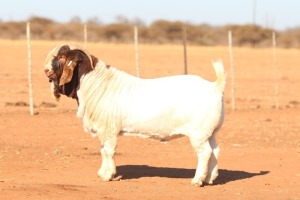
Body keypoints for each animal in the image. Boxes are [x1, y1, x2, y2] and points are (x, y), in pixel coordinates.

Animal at [43, 44, 226, 187]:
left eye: (61, 57)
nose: (45, 70)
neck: (96, 83)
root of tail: (215, 87)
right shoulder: (103, 131)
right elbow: (102, 151)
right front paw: (102, 173)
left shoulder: (108, 130)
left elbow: (108, 151)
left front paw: (108, 175)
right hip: (211, 133)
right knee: (215, 151)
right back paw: (210, 179)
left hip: (198, 134)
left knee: (205, 153)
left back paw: (197, 180)